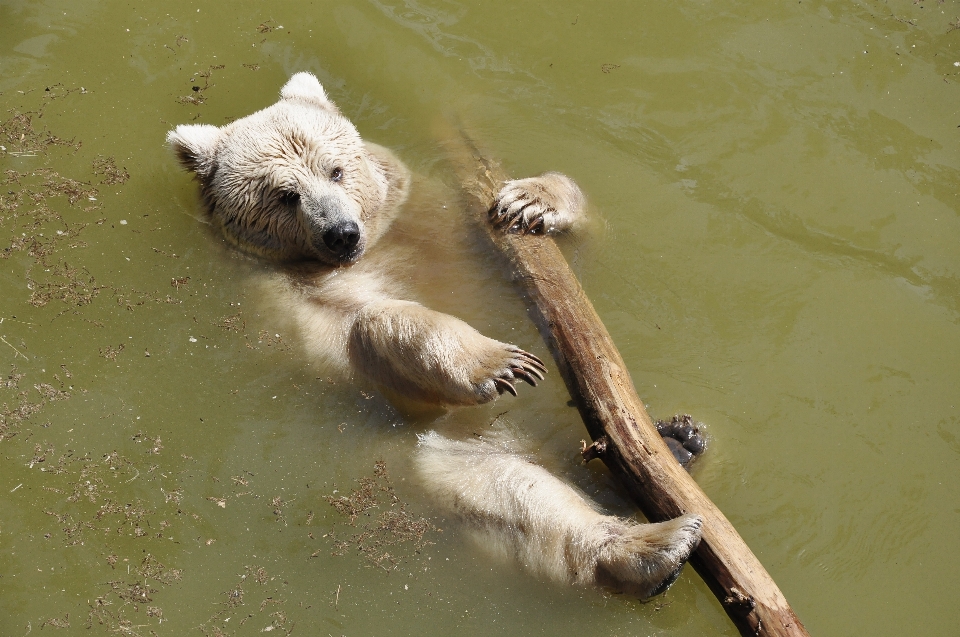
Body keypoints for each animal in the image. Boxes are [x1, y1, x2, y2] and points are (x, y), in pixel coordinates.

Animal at [167, 72, 704, 600]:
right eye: (285, 194)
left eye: (335, 170)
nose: (341, 232)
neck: (379, 244)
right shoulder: (287, 299)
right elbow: (362, 333)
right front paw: (498, 362)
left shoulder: (433, 217)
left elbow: (579, 266)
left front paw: (532, 200)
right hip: (449, 450)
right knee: (514, 494)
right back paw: (658, 543)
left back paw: (679, 439)